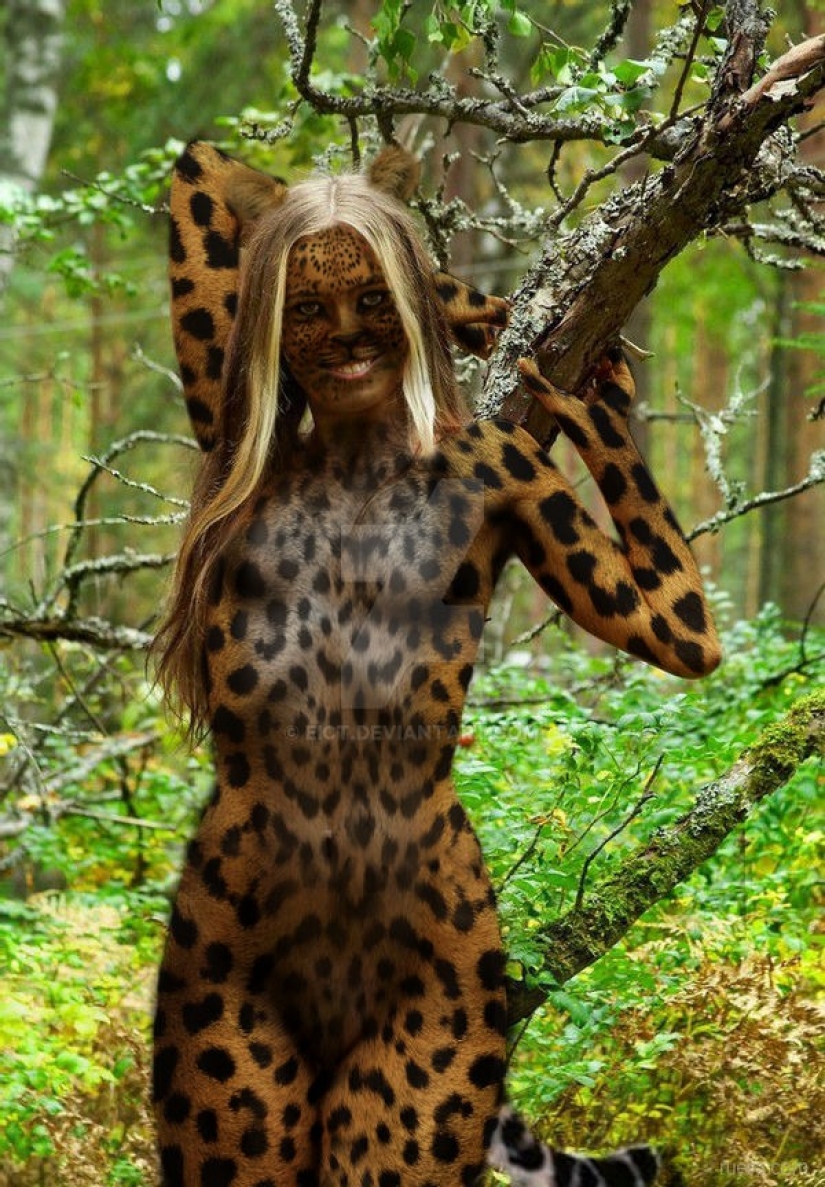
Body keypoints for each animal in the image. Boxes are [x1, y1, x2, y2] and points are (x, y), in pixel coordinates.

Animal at [152, 140, 721, 1187]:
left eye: (371, 299)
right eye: (307, 305)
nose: (348, 345)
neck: (353, 448)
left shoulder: (517, 472)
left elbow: (679, 631)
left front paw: (566, 377)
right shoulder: (227, 415)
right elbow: (201, 171)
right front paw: (476, 308)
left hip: (432, 1044)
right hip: (224, 1059)